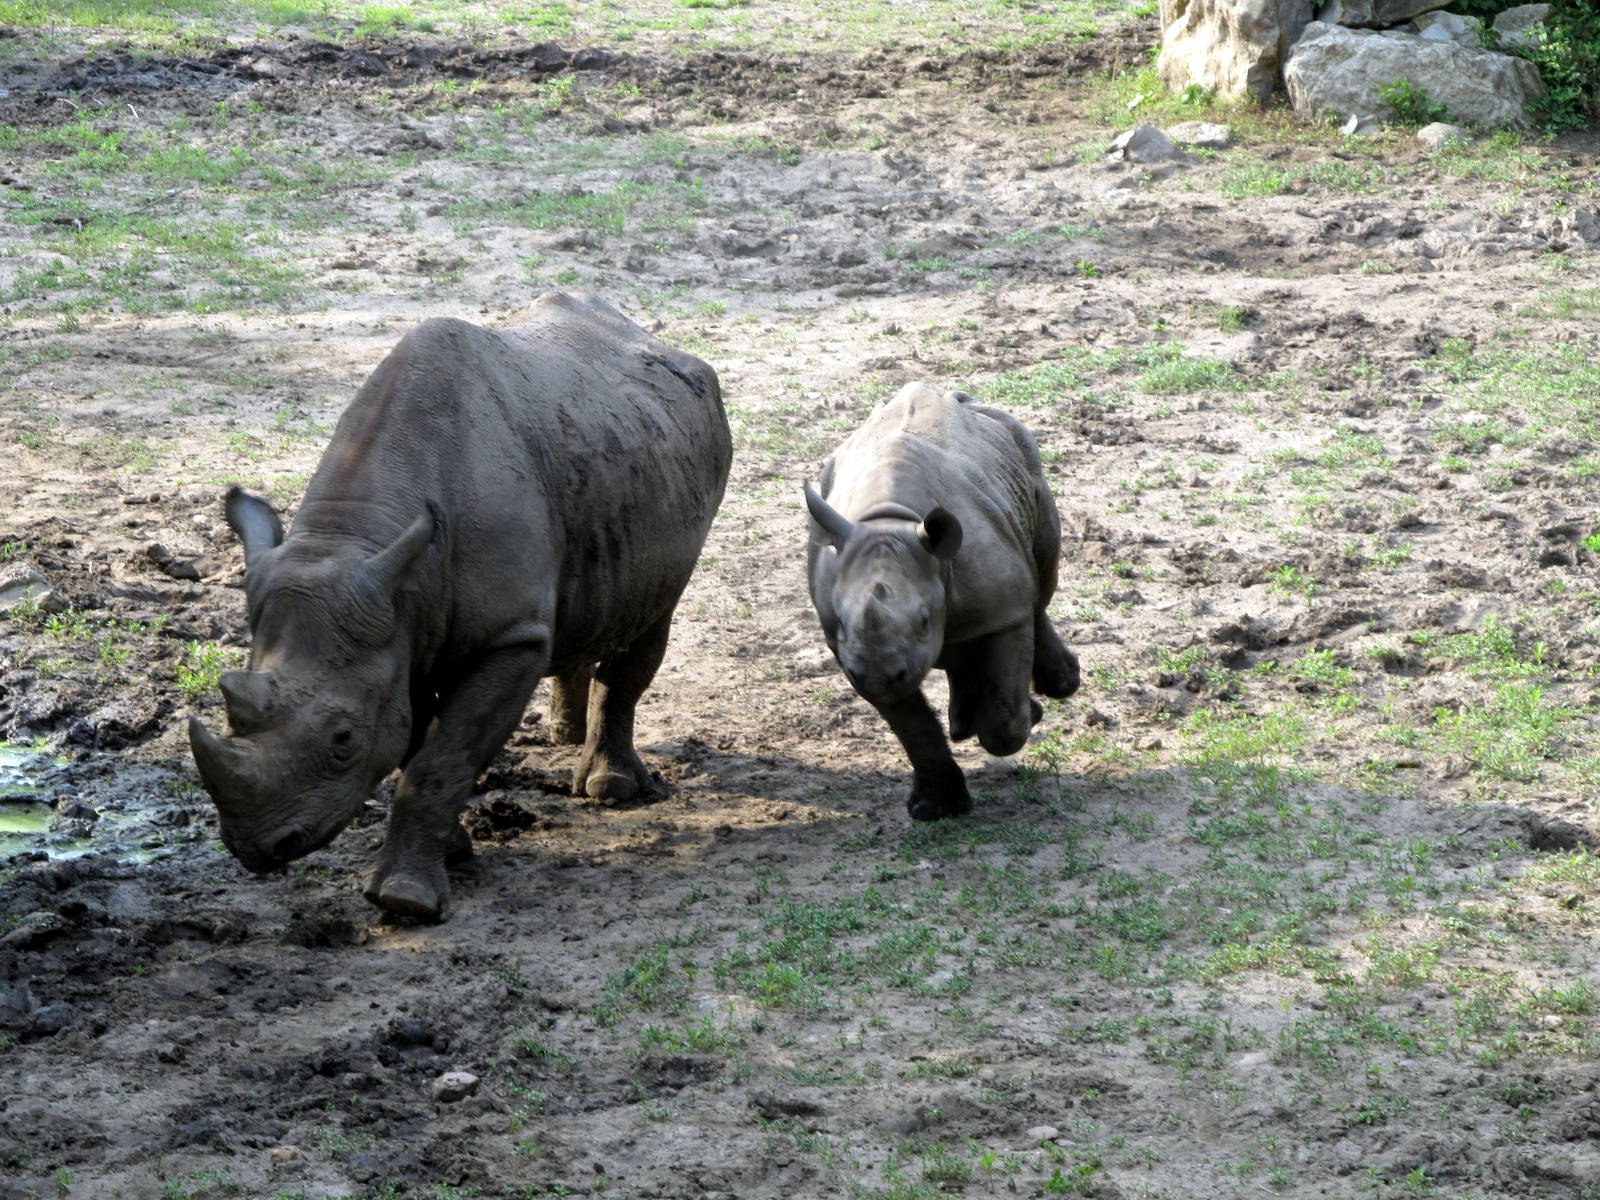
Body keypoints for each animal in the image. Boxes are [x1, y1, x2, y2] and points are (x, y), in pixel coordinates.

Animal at [189, 292, 731, 920]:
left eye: (343, 740)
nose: (258, 848)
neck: (354, 541)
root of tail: (653, 337)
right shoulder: (399, 624)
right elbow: (412, 741)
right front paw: (452, 851)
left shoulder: (505, 636)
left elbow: (440, 757)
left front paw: (406, 900)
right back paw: (562, 735)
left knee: (649, 618)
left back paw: (609, 787)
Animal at [805, 383, 1079, 818]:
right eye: (844, 622)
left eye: (922, 620)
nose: (879, 675)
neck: (891, 520)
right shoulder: (847, 646)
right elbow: (913, 728)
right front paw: (936, 807)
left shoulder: (1003, 613)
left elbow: (1004, 720)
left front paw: (1023, 716)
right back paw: (964, 721)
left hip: (1022, 450)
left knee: (1041, 578)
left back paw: (1057, 687)